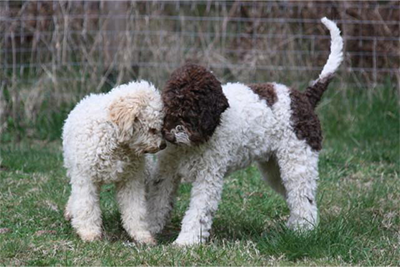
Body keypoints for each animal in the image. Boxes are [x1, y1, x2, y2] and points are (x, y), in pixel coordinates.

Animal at [62, 80, 164, 245]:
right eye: (152, 129)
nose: (163, 145)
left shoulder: (131, 180)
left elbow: (135, 209)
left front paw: (142, 235)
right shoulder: (86, 178)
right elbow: (86, 206)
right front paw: (89, 233)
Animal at [147, 17, 344, 246]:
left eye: (190, 112)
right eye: (168, 107)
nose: (169, 135)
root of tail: (305, 97)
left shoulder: (208, 176)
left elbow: (198, 212)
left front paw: (186, 242)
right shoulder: (167, 171)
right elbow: (157, 202)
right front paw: (149, 229)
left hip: (297, 162)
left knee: (304, 199)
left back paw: (304, 232)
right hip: (275, 168)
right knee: (296, 197)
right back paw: (294, 229)